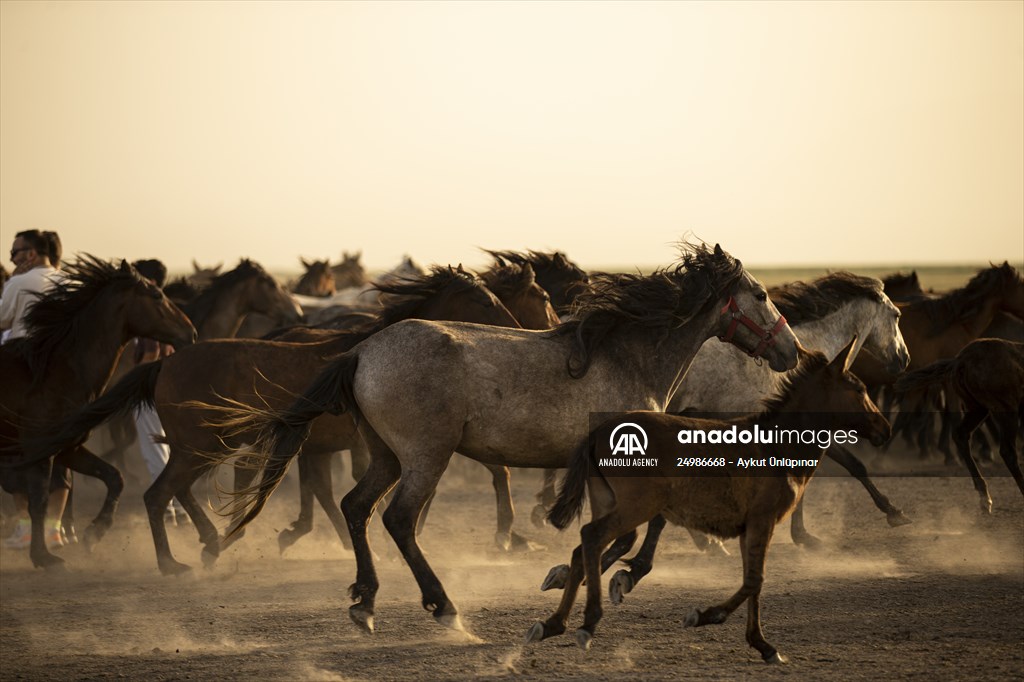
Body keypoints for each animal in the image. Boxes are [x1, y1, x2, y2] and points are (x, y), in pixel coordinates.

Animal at [0, 256, 196, 569]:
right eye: (156, 295)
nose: (190, 333)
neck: (54, 371)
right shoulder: (39, 451)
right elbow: (39, 500)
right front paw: (43, 556)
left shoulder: (68, 448)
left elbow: (114, 477)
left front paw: (94, 532)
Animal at [22, 266, 534, 574]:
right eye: (484, 301)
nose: (519, 332)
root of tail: (165, 362)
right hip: (200, 447)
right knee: (157, 494)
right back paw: (176, 560)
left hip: (207, 447)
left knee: (173, 492)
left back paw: (208, 542)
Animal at [204, 243, 799, 633]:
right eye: (760, 293)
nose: (792, 351)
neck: (630, 357)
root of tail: (362, 350)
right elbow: (629, 535)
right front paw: (589, 579)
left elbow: (622, 533)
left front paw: (570, 576)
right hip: (426, 456)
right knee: (397, 519)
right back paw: (441, 605)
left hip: (386, 456)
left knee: (357, 507)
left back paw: (365, 601)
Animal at [528, 341, 891, 662]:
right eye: (859, 389)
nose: (885, 429)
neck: (776, 446)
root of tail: (601, 430)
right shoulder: (763, 521)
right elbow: (754, 580)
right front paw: (704, 616)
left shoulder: (749, 528)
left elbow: (753, 582)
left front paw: (762, 644)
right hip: (635, 506)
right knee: (592, 538)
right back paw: (587, 623)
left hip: (608, 502)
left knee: (583, 550)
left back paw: (552, 624)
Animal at [895, 338, 1024, 513]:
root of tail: (960, 360)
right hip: (1004, 409)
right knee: (1007, 451)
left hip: (978, 409)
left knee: (961, 435)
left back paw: (985, 497)